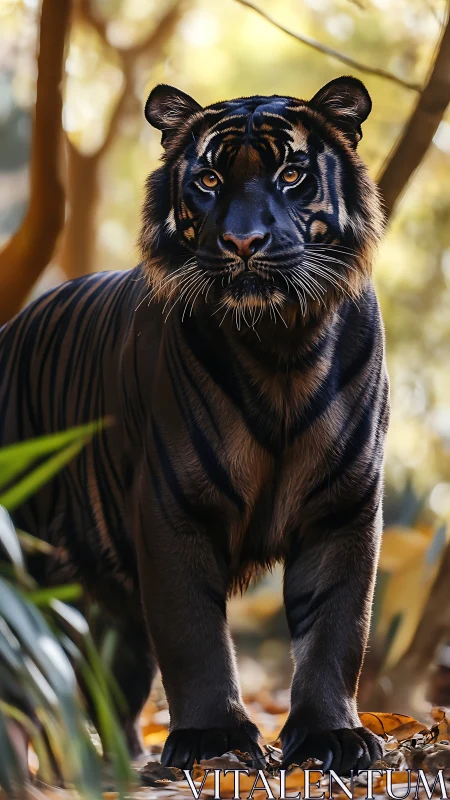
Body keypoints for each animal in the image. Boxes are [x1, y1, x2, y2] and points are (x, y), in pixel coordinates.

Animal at [0, 75, 389, 773]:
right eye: (209, 179)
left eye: (292, 174)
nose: (243, 243)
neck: (281, 347)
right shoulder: (174, 504)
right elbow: (192, 633)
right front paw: (216, 737)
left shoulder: (343, 506)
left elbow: (337, 625)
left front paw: (332, 738)